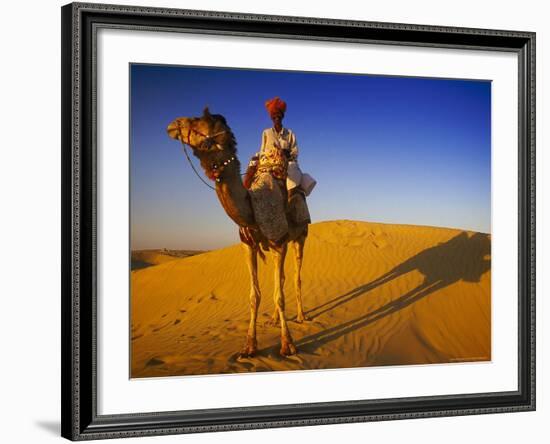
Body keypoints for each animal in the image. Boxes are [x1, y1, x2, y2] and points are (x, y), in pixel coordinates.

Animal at [166, 106, 308, 358]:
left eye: (201, 121)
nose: (174, 124)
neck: (252, 205)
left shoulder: (278, 240)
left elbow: (280, 296)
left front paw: (288, 345)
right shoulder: (248, 244)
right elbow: (255, 296)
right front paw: (249, 347)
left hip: (299, 236)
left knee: (295, 276)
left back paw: (301, 316)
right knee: (281, 279)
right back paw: (273, 319)